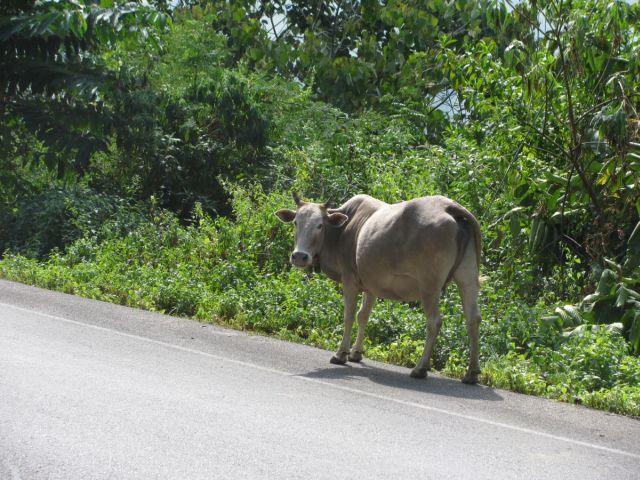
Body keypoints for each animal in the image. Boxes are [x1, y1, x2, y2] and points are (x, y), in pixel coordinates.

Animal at [274, 193, 480, 384]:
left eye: (320, 225)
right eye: (296, 222)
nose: (299, 256)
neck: (342, 231)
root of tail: (449, 206)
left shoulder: (349, 280)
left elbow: (349, 316)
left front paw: (341, 354)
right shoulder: (371, 285)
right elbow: (362, 316)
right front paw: (356, 353)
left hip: (429, 284)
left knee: (434, 322)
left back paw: (420, 368)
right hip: (468, 278)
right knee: (473, 320)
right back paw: (471, 373)